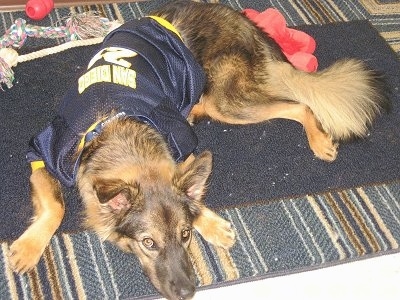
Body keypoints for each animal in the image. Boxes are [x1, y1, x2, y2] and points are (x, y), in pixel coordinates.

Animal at [9, 0, 390, 300]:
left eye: (185, 235)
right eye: (148, 243)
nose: (188, 291)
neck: (118, 129)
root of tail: (240, 18)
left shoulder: (181, 143)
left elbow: (188, 189)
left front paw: (210, 221)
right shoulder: (44, 152)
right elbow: (56, 205)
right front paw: (30, 246)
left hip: (227, 100)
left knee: (300, 105)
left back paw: (320, 140)